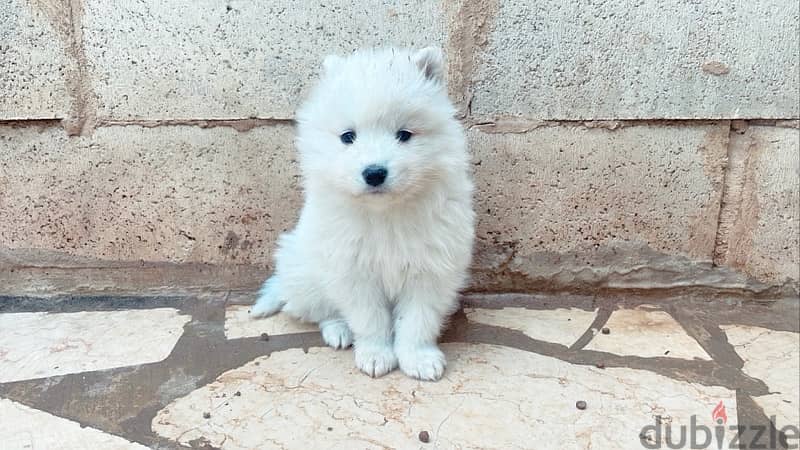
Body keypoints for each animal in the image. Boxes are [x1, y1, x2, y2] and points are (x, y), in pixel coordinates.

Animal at [253, 47, 472, 382]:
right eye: (348, 137)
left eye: (404, 134)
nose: (374, 173)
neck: (386, 214)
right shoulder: (353, 272)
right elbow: (370, 319)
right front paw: (376, 355)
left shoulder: (431, 269)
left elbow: (417, 320)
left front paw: (418, 358)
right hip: (307, 276)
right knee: (323, 312)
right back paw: (339, 332)